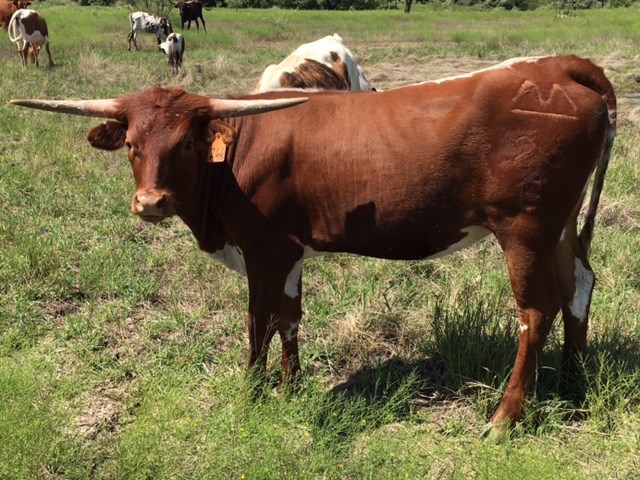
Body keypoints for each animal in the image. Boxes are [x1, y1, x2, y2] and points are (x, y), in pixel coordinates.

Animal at [11, 55, 616, 437]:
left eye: (185, 143)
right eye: (133, 144)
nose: (151, 203)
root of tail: (556, 66)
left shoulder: (263, 249)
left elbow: (259, 320)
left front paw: (252, 396)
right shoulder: (289, 252)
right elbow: (290, 318)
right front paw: (290, 388)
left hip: (525, 228)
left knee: (535, 312)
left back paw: (503, 419)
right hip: (559, 227)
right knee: (578, 288)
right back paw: (572, 385)